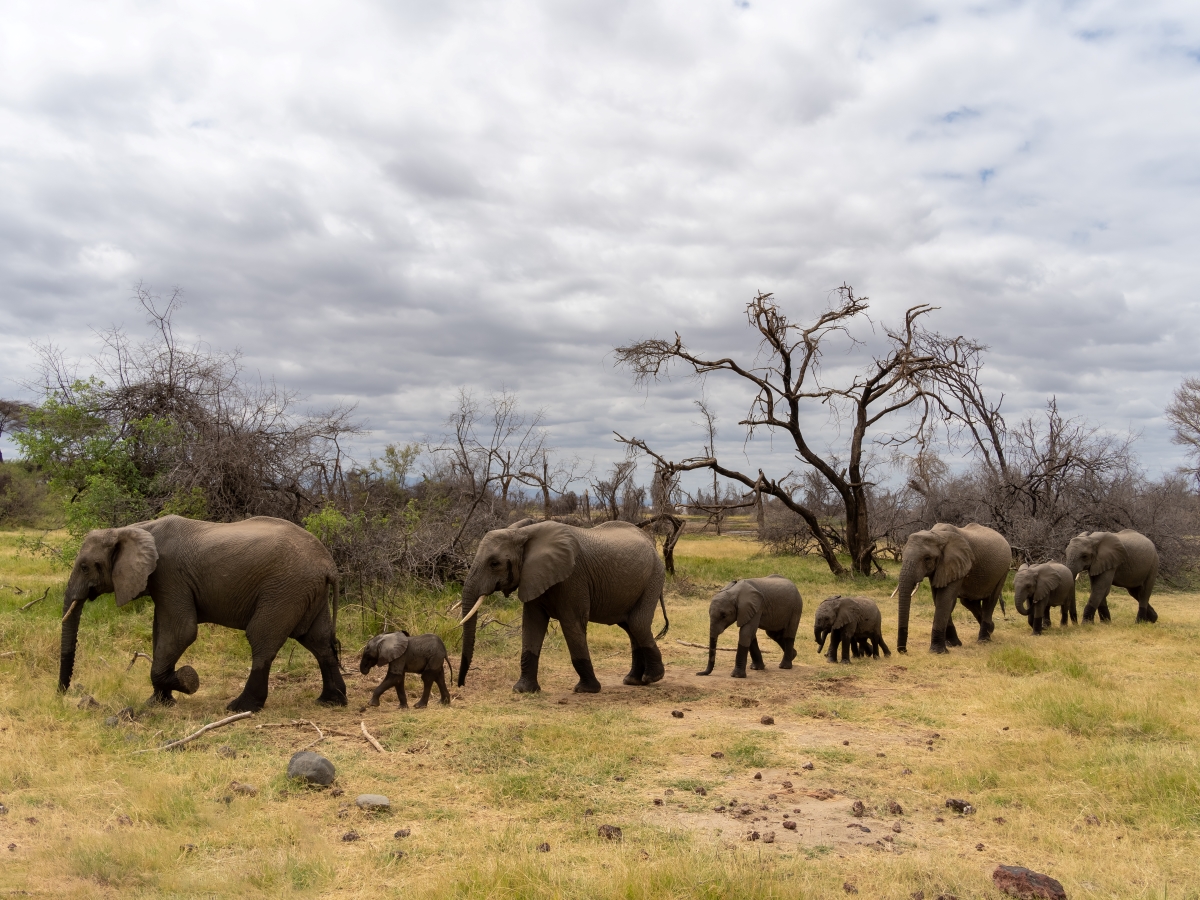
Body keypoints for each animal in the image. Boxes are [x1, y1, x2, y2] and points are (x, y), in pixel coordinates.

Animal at [59, 518, 348, 715]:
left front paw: (188, 681)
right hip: (307, 592)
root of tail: (329, 566)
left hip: (284, 590)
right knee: (318, 642)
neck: (132, 528)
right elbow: (160, 631)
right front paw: (158, 702)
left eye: (84, 567)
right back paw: (331, 700)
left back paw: (240, 707)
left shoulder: (170, 576)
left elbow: (182, 631)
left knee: (261, 638)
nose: (62, 693)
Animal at [456, 518, 672, 696]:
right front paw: (523, 690)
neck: (523, 533)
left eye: (494, 563)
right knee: (630, 627)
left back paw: (652, 677)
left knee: (637, 623)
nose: (460, 684)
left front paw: (586, 690)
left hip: (654, 577)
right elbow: (532, 625)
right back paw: (633, 681)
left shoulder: (573, 578)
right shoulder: (533, 576)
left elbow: (572, 624)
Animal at [892, 520, 1012, 657]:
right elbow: (939, 599)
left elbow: (944, 599)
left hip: (1004, 570)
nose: (904, 651)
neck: (937, 535)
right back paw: (991, 629)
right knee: (968, 602)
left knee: (990, 600)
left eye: (927, 558)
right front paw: (953, 644)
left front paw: (937, 651)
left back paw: (984, 640)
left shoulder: (957, 562)